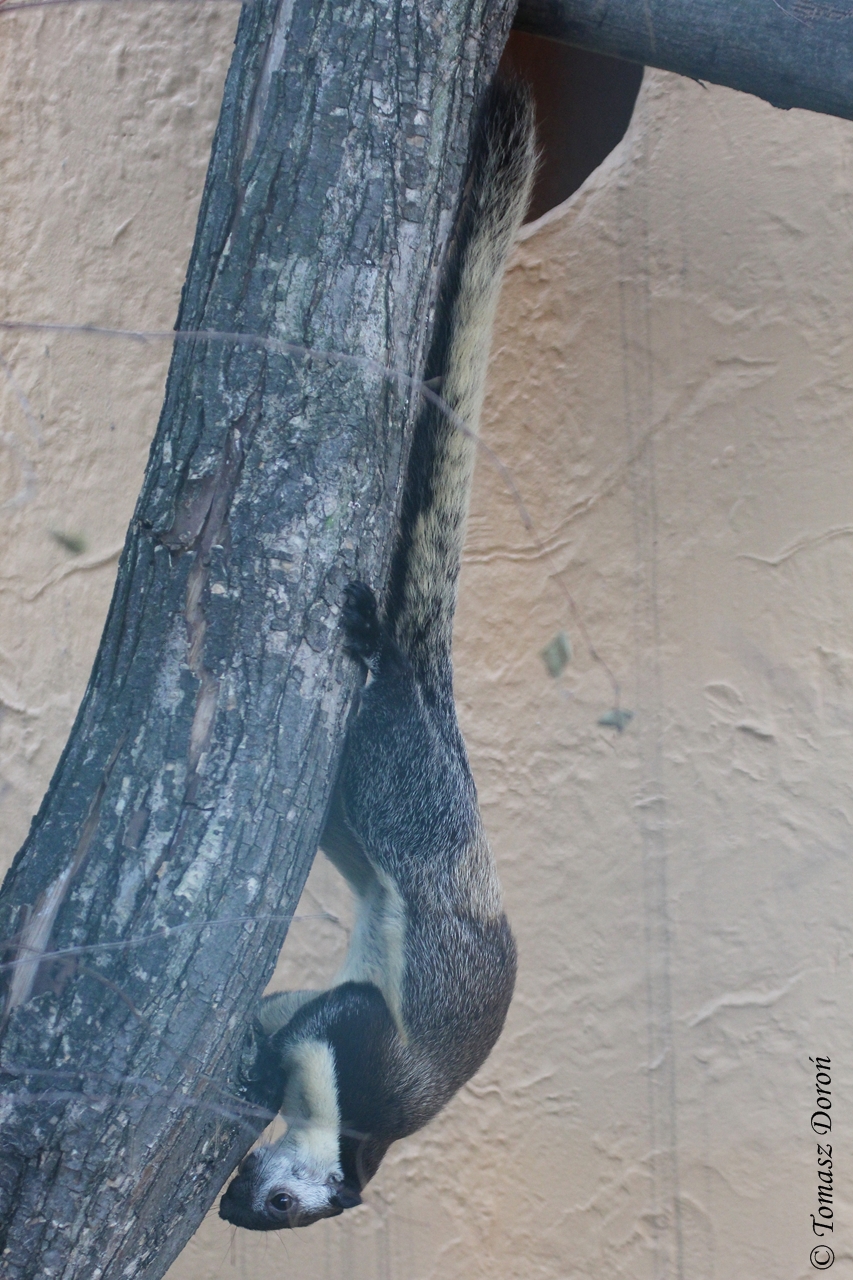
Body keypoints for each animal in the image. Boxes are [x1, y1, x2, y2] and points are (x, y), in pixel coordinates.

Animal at [219, 72, 536, 1231]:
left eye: (278, 1211)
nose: (232, 1207)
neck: (364, 1134)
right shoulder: (365, 1049)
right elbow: (323, 1015)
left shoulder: (354, 1043)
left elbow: (305, 1012)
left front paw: (261, 1048)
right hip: (401, 781)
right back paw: (375, 649)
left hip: (377, 807)